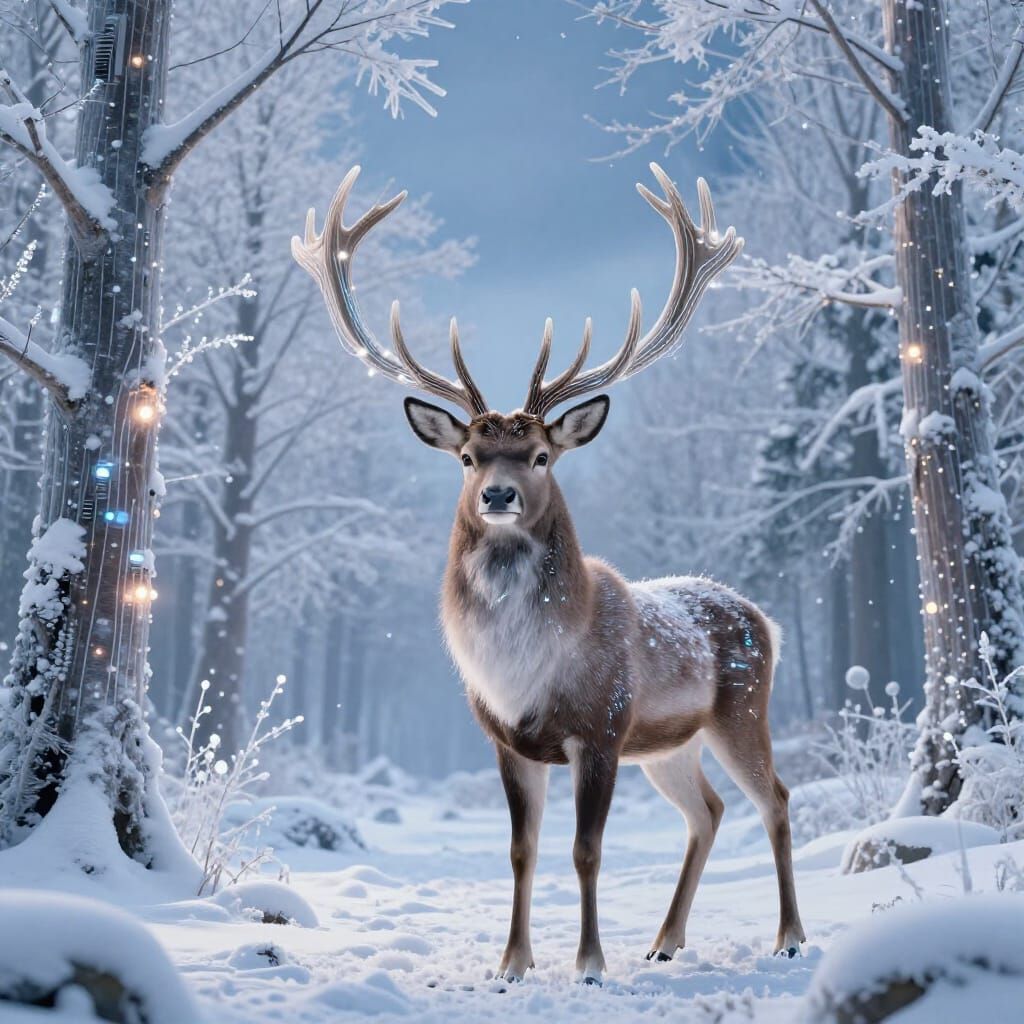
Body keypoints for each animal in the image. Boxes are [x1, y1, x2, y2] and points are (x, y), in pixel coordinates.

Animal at [292, 164, 806, 984]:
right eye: (467, 456)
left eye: (540, 454)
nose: (498, 495)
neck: (522, 669)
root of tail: (765, 617)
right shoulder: (506, 741)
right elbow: (521, 851)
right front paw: (511, 963)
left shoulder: (600, 729)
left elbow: (586, 850)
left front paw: (589, 963)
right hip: (671, 744)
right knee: (709, 811)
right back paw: (665, 941)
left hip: (740, 710)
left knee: (777, 800)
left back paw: (788, 935)